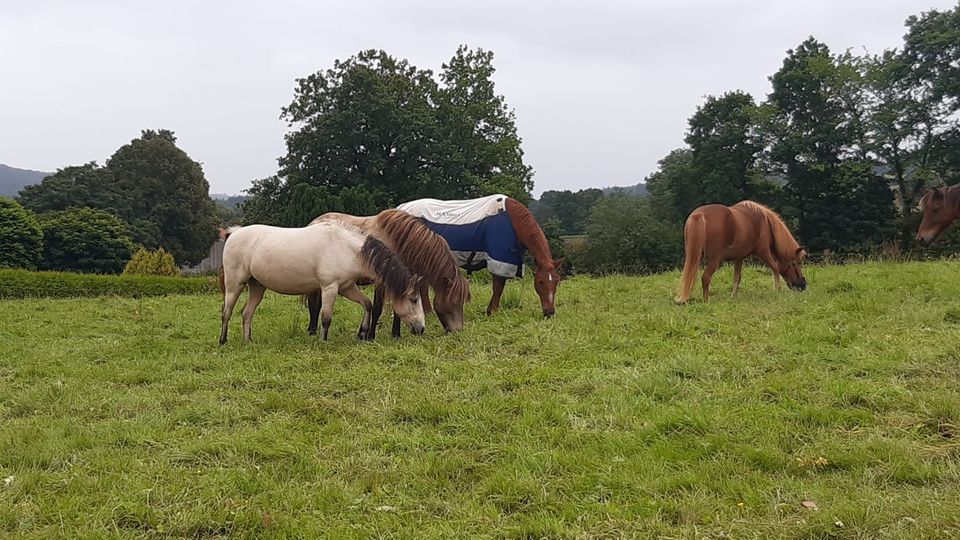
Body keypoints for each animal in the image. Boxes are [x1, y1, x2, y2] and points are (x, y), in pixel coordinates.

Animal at [223, 221, 426, 344]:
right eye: (414, 299)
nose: (421, 328)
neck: (347, 249)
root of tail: (234, 233)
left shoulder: (346, 287)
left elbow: (367, 304)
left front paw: (362, 333)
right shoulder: (330, 288)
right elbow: (326, 317)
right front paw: (323, 340)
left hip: (257, 286)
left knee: (246, 313)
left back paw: (248, 341)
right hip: (235, 285)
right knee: (227, 311)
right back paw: (223, 341)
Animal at [308, 210, 472, 340]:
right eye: (454, 301)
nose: (458, 330)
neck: (399, 242)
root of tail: (314, 222)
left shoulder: (402, 282)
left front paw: (396, 334)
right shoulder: (381, 282)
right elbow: (377, 309)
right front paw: (370, 336)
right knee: (314, 304)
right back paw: (312, 330)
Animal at [398, 195, 564, 316]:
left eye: (557, 281)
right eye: (540, 281)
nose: (550, 312)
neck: (513, 221)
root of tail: (400, 208)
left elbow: (499, 287)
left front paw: (491, 310)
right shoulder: (499, 258)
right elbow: (498, 287)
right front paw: (492, 311)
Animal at [676, 201, 808, 306]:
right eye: (795, 264)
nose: (803, 285)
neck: (764, 222)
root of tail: (699, 215)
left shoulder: (739, 258)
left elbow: (736, 278)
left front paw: (733, 297)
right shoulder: (764, 252)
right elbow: (775, 268)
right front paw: (778, 289)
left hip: (693, 257)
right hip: (714, 260)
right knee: (706, 278)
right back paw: (706, 300)